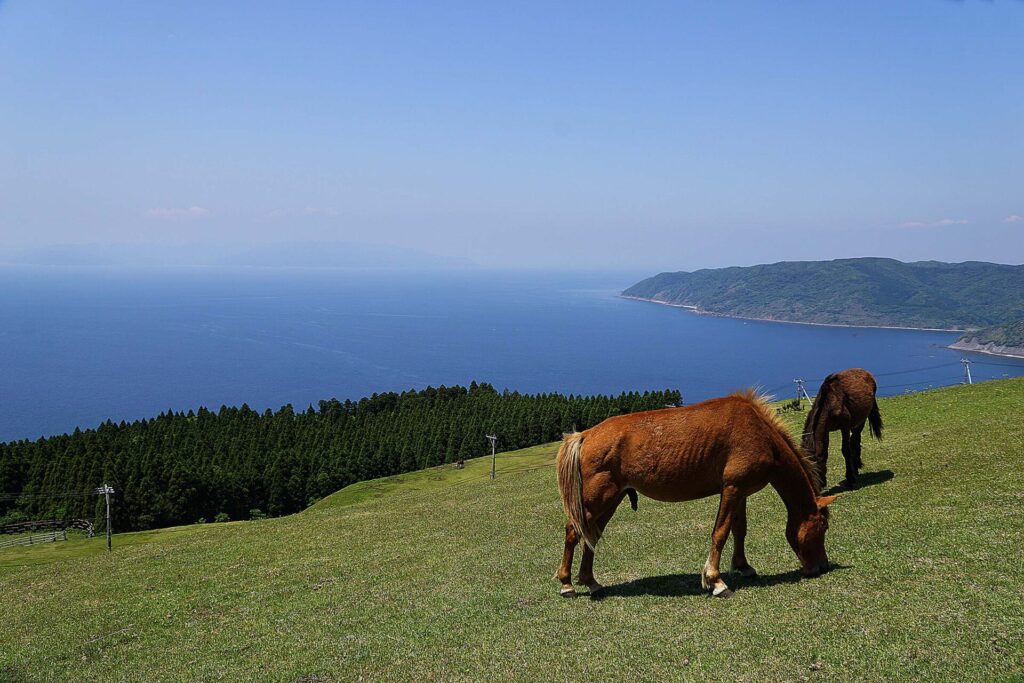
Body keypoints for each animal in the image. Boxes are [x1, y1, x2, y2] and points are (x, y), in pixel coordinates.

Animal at [557, 389, 835, 598]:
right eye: (823, 527)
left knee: (591, 535)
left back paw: (591, 582)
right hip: (598, 499)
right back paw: (567, 584)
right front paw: (716, 581)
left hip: (611, 499)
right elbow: (720, 533)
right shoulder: (732, 488)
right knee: (573, 531)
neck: (760, 433)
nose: (821, 567)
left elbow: (739, 530)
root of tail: (586, 434)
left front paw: (743, 566)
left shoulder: (741, 491)